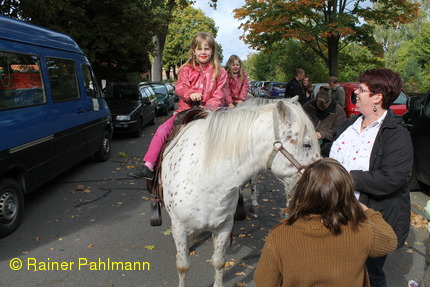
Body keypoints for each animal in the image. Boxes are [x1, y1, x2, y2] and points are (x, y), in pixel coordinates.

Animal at [160, 98, 320, 286]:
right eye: (307, 144)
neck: (205, 176)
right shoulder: (179, 227)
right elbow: (183, 265)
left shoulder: (224, 226)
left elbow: (219, 262)